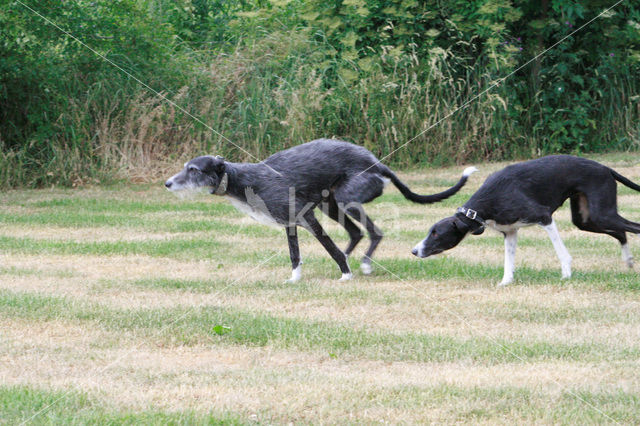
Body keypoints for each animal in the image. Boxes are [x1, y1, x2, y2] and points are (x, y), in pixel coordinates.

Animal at [165, 138, 476, 282]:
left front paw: (345, 275)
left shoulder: (307, 216)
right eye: (185, 167)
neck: (243, 178)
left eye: (194, 170)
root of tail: (377, 163)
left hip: (346, 198)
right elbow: (295, 255)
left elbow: (330, 248)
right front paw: (294, 279)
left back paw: (362, 264)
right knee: (356, 233)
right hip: (331, 204)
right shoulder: (290, 223)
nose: (167, 183)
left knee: (373, 232)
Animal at [410, 156, 640, 286]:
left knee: (634, 227)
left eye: (436, 233)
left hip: (602, 213)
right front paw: (505, 282)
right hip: (587, 220)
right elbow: (508, 262)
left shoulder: (544, 217)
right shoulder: (510, 232)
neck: (483, 206)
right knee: (621, 233)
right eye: (430, 231)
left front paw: (566, 275)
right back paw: (628, 260)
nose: (414, 251)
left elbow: (561, 252)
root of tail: (606, 168)